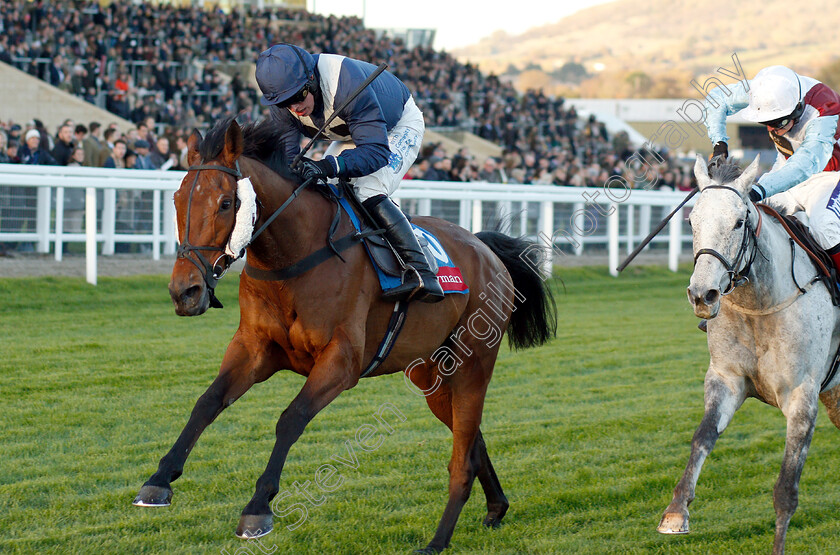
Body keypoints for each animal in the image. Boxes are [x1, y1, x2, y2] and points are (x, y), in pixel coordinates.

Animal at [133, 116, 556, 552]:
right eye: (176, 199)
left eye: (225, 203)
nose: (185, 291)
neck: (295, 256)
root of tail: (485, 249)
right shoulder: (254, 348)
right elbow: (207, 402)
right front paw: (158, 481)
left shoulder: (341, 360)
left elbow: (291, 418)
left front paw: (258, 508)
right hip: (433, 376)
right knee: (471, 439)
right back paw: (496, 508)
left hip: (472, 364)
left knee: (462, 456)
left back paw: (438, 539)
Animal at [656, 156, 840, 555]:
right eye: (691, 220)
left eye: (738, 222)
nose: (702, 294)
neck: (760, 306)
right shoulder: (726, 379)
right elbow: (702, 437)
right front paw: (676, 513)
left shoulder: (802, 396)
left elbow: (786, 489)